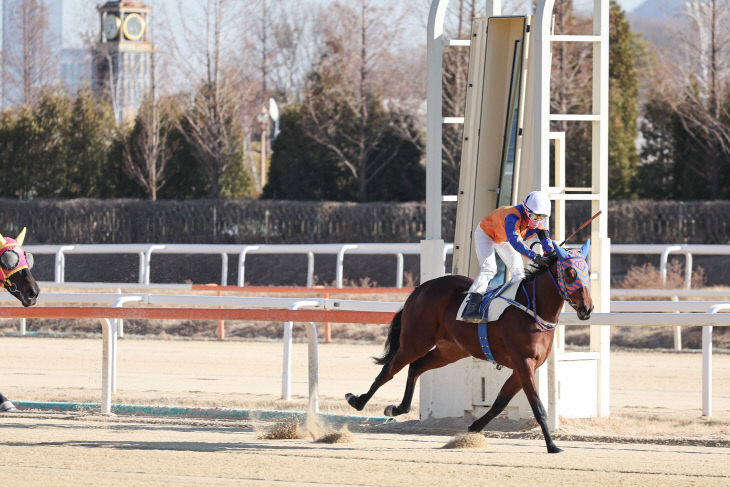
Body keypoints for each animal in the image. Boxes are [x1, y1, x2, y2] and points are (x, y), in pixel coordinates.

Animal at [346, 240, 592, 454]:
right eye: (569, 273)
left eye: (587, 272)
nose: (587, 308)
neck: (532, 309)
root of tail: (420, 289)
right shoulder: (524, 363)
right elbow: (538, 407)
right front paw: (552, 446)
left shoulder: (521, 368)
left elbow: (499, 403)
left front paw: (473, 429)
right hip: (415, 341)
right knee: (388, 370)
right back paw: (358, 401)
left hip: (450, 350)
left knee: (416, 367)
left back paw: (399, 408)